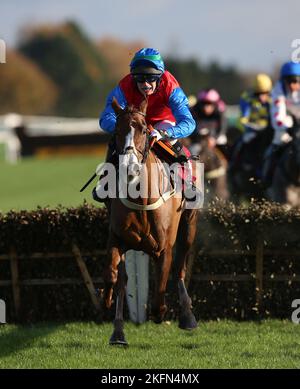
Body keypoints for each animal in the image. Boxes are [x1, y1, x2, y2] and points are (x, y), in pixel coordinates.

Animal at [103, 98, 199, 344]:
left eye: (145, 130)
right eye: (116, 131)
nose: (130, 166)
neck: (141, 198)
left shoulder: (164, 248)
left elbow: (159, 293)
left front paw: (162, 312)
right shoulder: (117, 238)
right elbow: (114, 274)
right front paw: (106, 299)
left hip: (189, 226)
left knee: (180, 267)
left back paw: (187, 316)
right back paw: (118, 331)